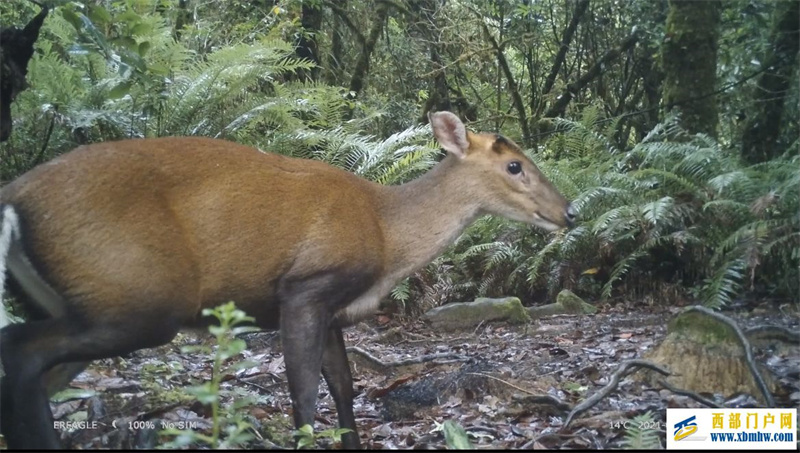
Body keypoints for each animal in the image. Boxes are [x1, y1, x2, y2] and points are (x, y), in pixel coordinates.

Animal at [0, 110, 576, 448]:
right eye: (515, 166)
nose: (569, 213)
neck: (385, 232)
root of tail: (14, 197)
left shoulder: (336, 311)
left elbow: (344, 387)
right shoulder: (305, 287)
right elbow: (304, 395)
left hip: (89, 299)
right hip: (137, 294)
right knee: (20, 352)